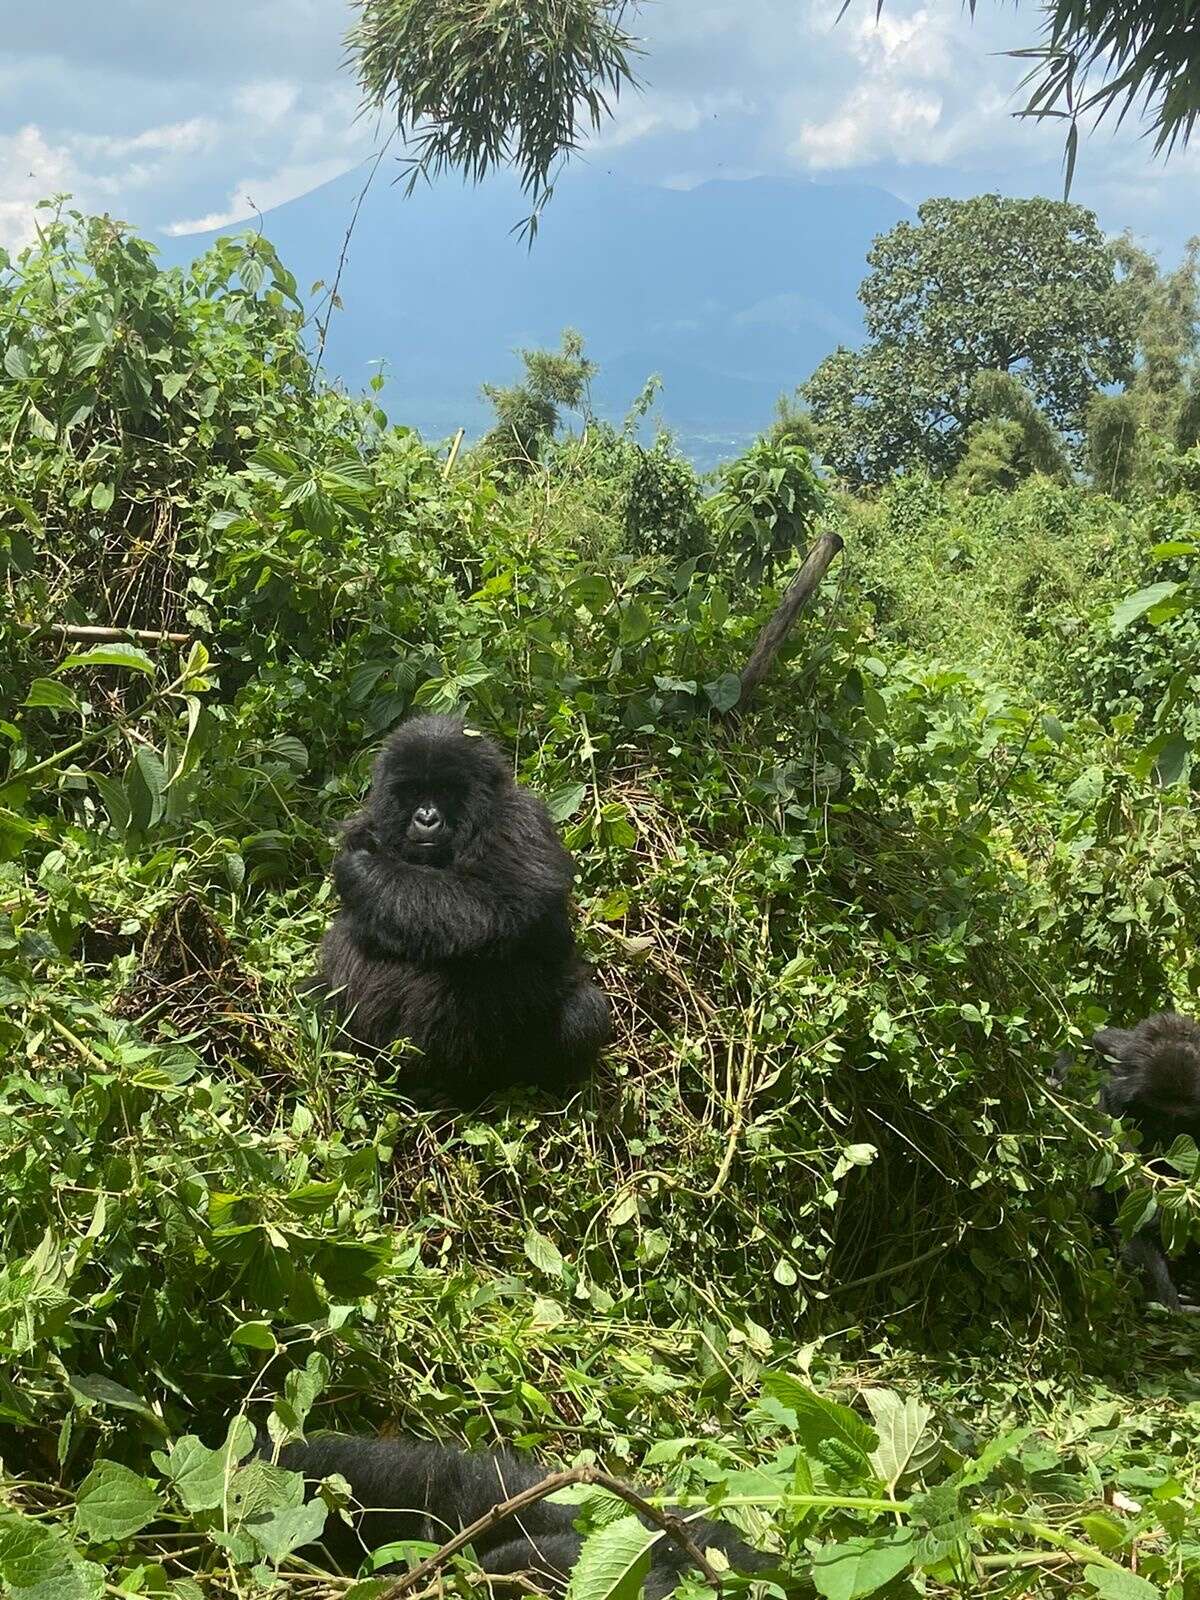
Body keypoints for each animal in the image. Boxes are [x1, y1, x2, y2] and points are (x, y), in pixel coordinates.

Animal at [315, 716, 611, 1100]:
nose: (426, 818)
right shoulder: (365, 824)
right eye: (413, 792)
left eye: (445, 791)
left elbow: (490, 906)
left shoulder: (522, 822)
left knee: (586, 1012)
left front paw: (364, 869)